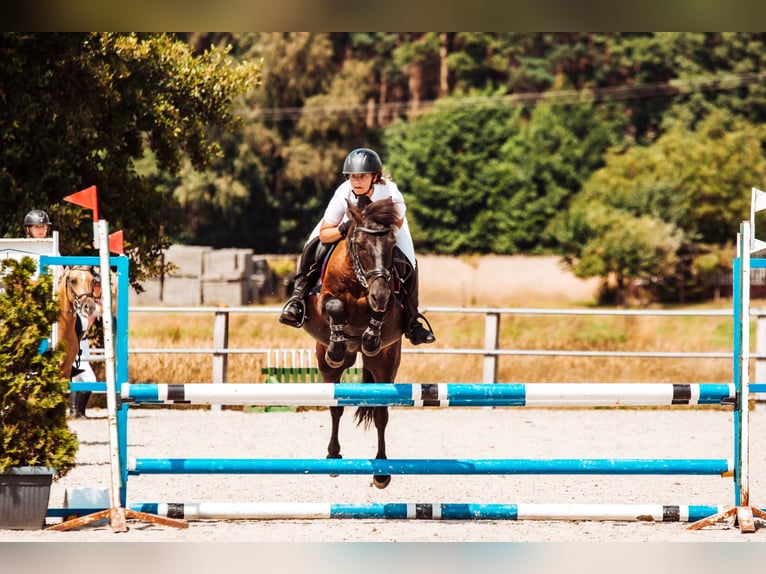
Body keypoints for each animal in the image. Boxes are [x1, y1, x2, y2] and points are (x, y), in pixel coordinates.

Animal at [302, 197, 404, 489]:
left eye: (392, 245)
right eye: (360, 245)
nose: (379, 293)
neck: (359, 281)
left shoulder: (391, 303)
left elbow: (380, 314)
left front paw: (370, 337)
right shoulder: (324, 298)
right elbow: (335, 305)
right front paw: (339, 343)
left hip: (385, 365)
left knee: (381, 415)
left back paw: (381, 472)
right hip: (327, 364)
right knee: (335, 407)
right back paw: (333, 457)